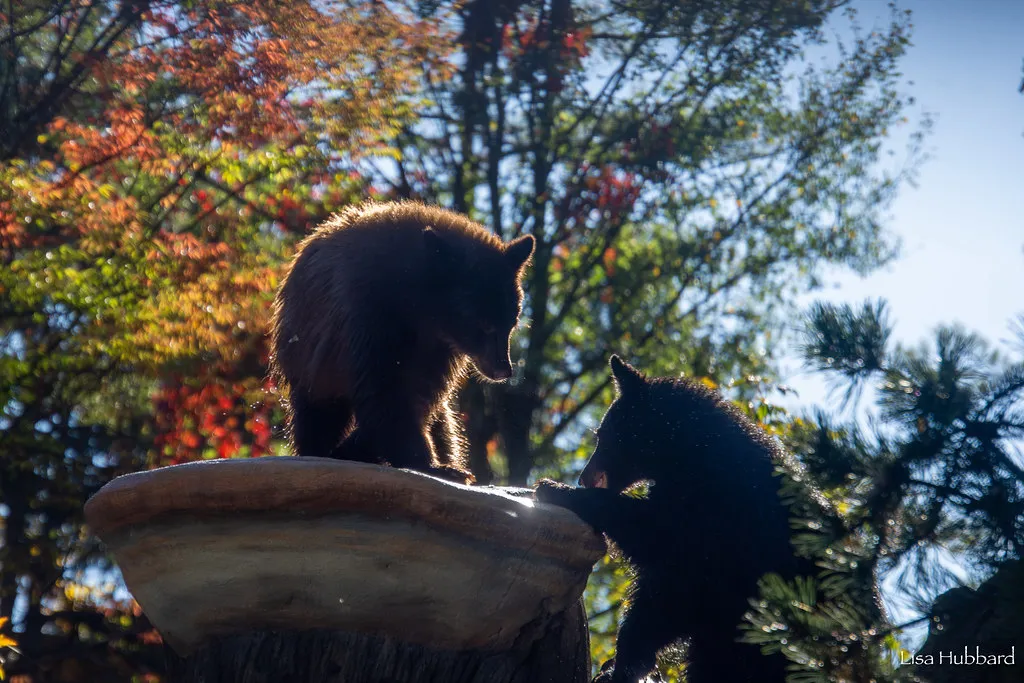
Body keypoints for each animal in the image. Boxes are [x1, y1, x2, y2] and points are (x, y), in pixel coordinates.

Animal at [269, 200, 535, 484]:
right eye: (484, 324)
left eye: (512, 323)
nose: (503, 369)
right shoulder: (371, 314)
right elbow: (385, 389)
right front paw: (431, 464)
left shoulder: (439, 349)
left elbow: (423, 396)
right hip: (310, 358)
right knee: (318, 412)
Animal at [536, 355, 821, 683]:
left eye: (604, 436)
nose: (584, 477)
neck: (687, 455)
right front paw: (620, 664)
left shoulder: (717, 520)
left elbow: (657, 540)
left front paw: (553, 488)